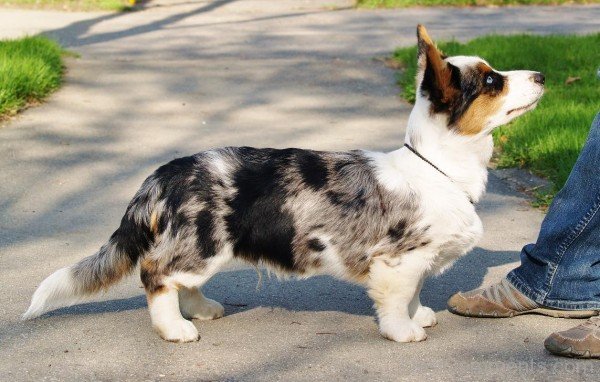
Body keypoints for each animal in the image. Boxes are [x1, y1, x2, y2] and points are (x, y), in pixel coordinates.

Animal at [23, 26, 544, 344]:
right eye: (492, 81)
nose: (542, 73)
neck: (438, 167)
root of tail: (162, 174)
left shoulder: (414, 263)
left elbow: (416, 295)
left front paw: (422, 317)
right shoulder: (399, 261)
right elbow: (398, 302)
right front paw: (405, 331)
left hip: (206, 250)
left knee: (180, 282)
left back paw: (203, 309)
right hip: (203, 243)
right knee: (157, 276)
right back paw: (176, 329)